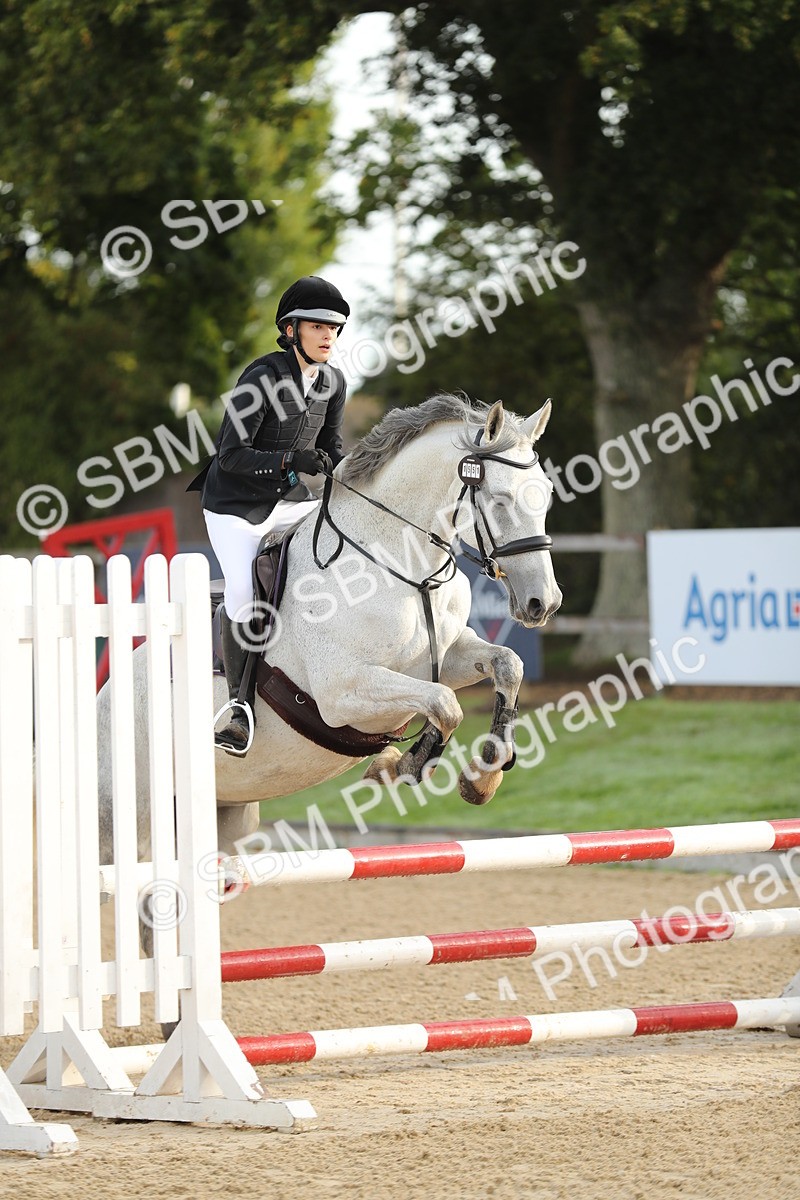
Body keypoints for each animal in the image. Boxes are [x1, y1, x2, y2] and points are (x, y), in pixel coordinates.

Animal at [96, 392, 562, 869]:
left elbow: (506, 665)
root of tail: (103, 699)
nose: (542, 603)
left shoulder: (442, 658)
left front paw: (482, 777)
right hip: (124, 823)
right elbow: (446, 704)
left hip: (227, 814)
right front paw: (400, 766)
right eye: (500, 500)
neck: (401, 565)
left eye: (545, 495)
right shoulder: (343, 693)